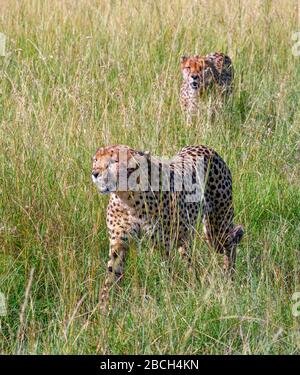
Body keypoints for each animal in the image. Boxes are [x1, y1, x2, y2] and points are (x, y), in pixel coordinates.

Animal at [92, 144, 244, 312]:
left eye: (114, 161)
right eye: (96, 160)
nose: (95, 173)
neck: (129, 198)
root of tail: (206, 147)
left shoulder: (163, 244)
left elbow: (166, 271)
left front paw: (168, 298)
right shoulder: (119, 242)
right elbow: (111, 274)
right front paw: (104, 308)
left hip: (217, 228)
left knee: (231, 242)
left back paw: (229, 276)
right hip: (187, 236)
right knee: (191, 261)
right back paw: (195, 282)